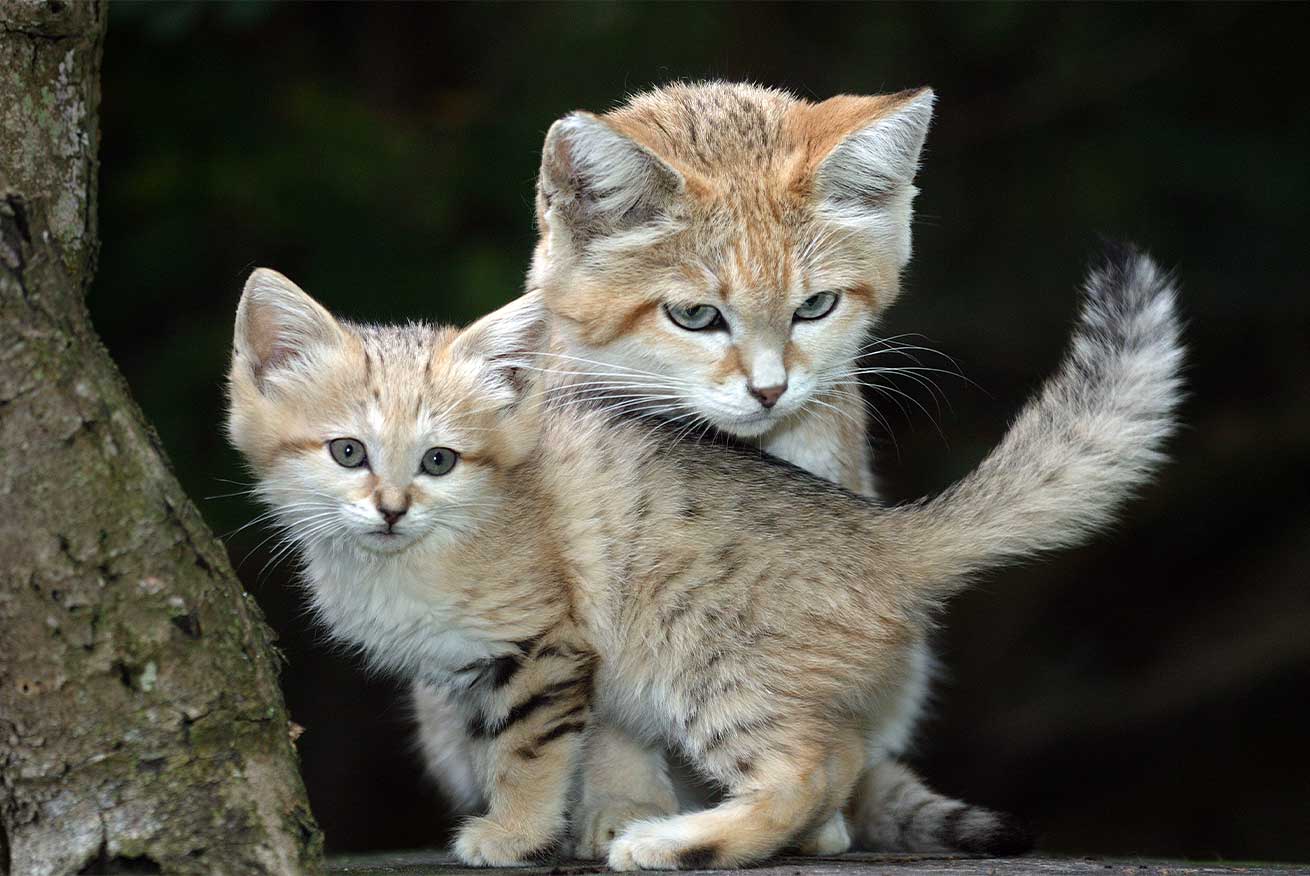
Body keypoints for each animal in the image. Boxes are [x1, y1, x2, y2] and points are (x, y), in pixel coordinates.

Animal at [230, 246, 1184, 869]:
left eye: (439, 461)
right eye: (347, 452)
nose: (390, 509)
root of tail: (878, 532)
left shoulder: (545, 649)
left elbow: (530, 753)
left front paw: (513, 834)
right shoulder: (475, 677)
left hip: (707, 664)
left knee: (802, 770)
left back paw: (675, 845)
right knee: (840, 756)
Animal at [413, 83, 1027, 853]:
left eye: (815, 306)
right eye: (697, 317)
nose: (770, 390)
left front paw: (807, 819)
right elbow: (609, 717)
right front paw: (624, 804)